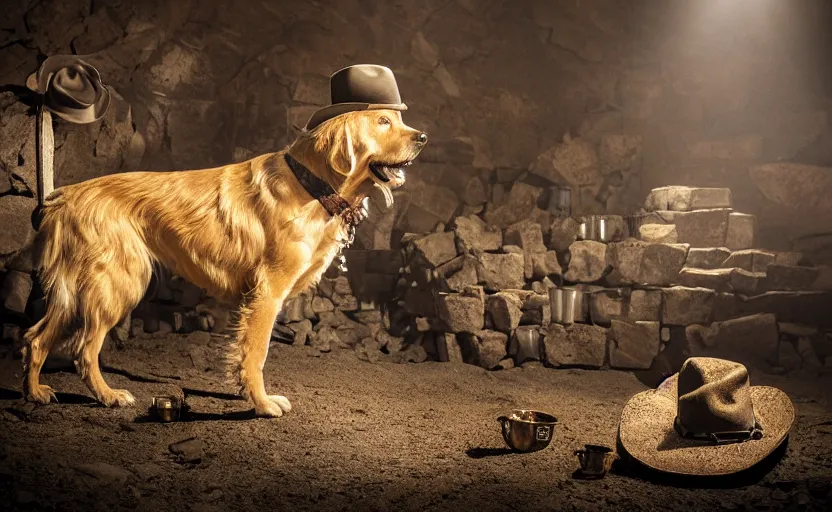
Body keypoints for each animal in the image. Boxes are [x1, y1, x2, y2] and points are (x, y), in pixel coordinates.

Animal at [24, 110, 428, 418]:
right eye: (383, 122)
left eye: (398, 118)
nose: (423, 136)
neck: (309, 184)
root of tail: (65, 197)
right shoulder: (267, 292)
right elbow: (256, 353)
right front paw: (262, 404)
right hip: (116, 284)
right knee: (83, 349)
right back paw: (108, 396)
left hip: (76, 291)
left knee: (36, 338)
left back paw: (36, 393)